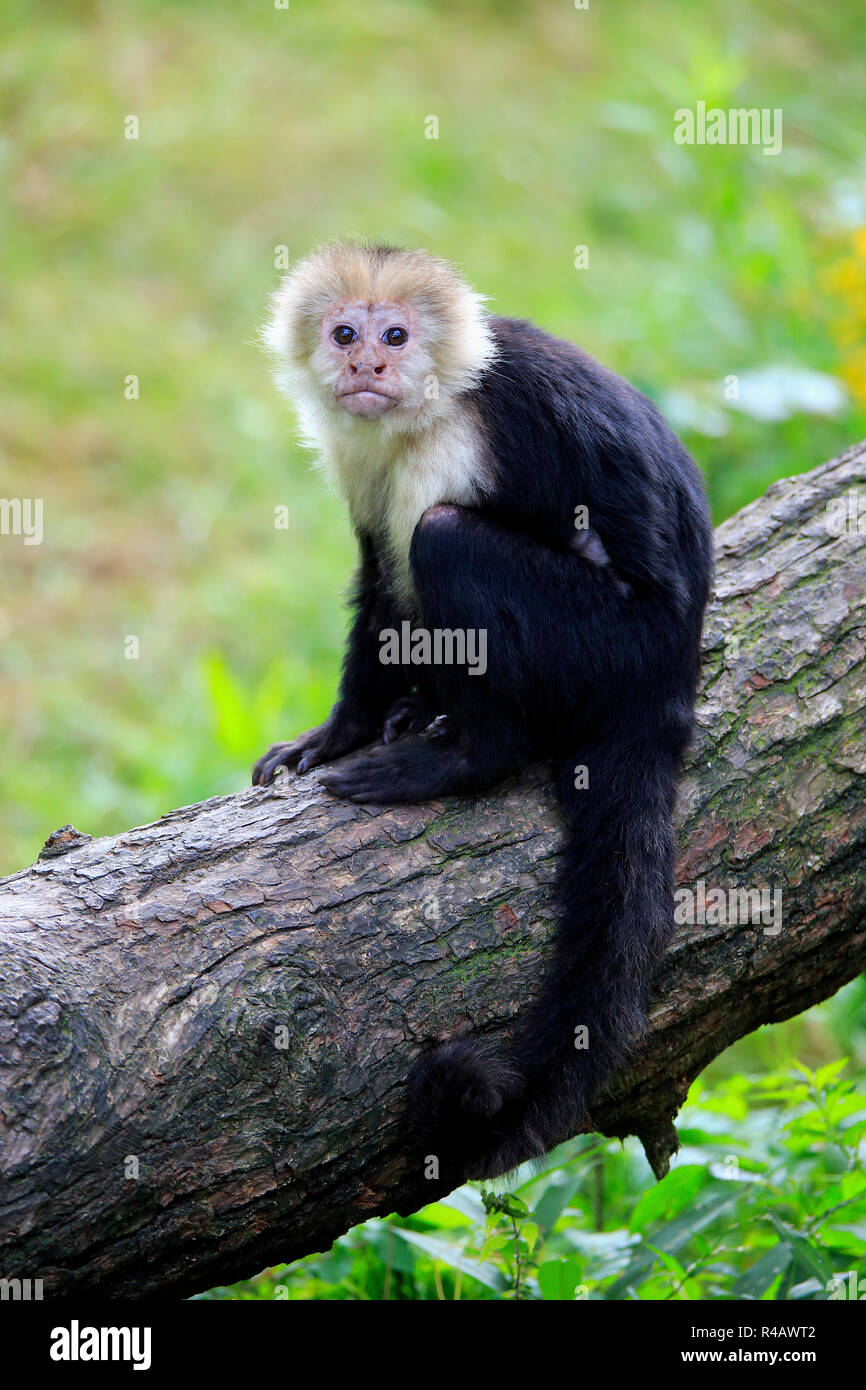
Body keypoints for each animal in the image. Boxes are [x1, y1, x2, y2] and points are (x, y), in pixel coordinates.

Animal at [250, 239, 711, 1184]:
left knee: (446, 537)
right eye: (344, 332)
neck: (427, 405)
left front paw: (421, 740)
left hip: (613, 644)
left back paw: (465, 754)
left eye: (394, 334)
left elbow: (424, 547)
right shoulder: (361, 456)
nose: (367, 365)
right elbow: (381, 578)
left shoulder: (464, 434)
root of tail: (669, 681)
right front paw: (341, 733)